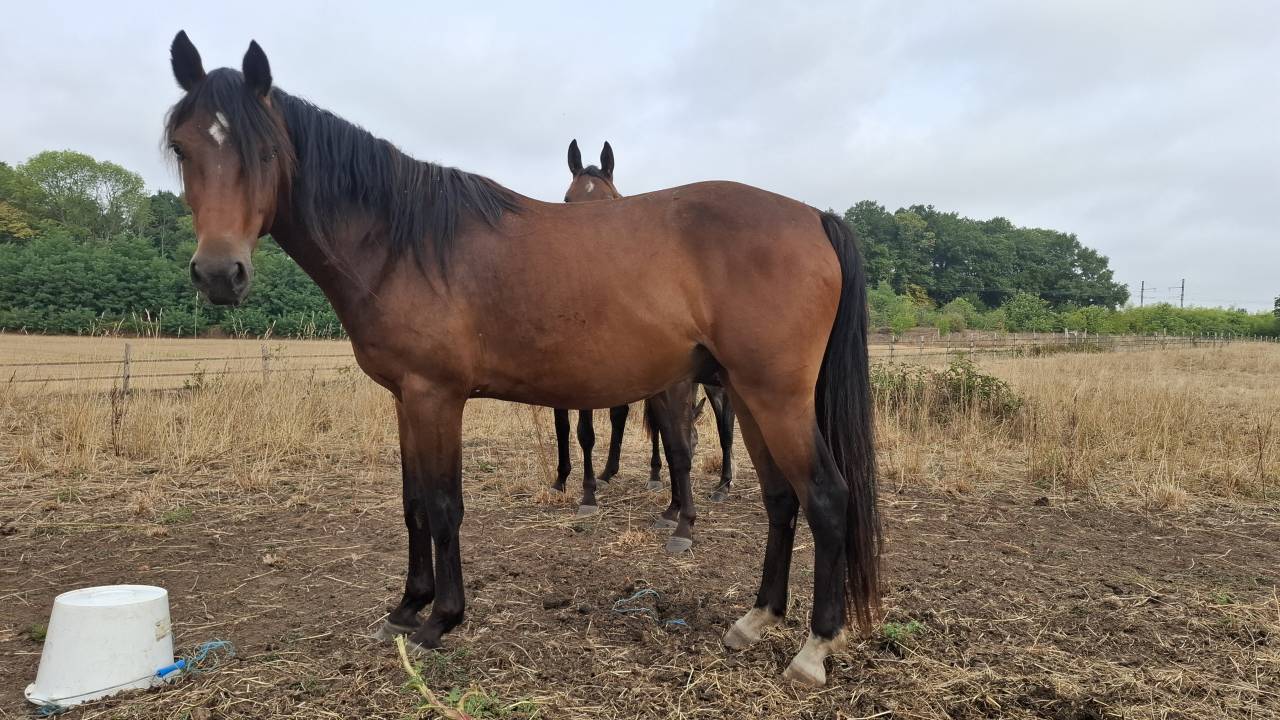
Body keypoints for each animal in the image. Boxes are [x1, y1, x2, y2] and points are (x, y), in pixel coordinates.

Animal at [164, 32, 880, 686]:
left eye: (265, 150)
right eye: (182, 148)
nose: (219, 273)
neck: (404, 241)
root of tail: (814, 217)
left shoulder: (436, 395)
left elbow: (443, 504)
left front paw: (440, 620)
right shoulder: (405, 397)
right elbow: (412, 502)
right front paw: (406, 607)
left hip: (775, 396)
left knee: (825, 497)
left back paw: (813, 648)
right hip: (748, 394)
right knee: (781, 498)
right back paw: (755, 620)